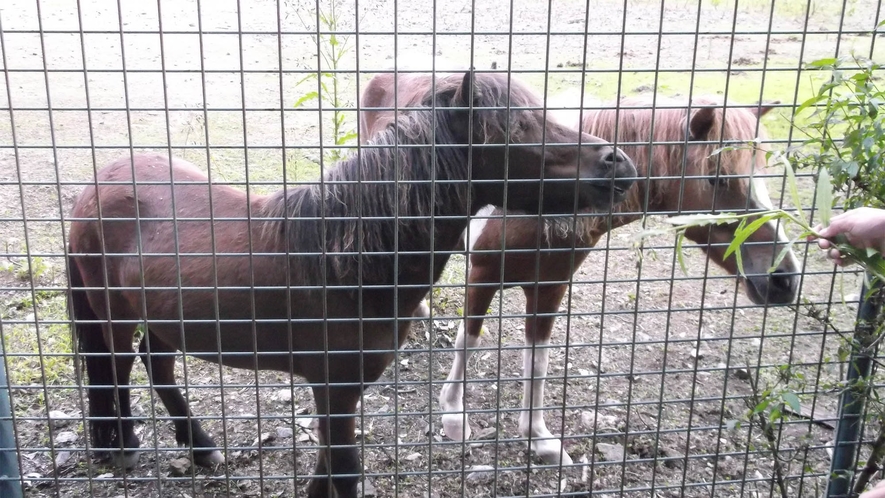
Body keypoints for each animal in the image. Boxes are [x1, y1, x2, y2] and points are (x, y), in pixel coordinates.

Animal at [69, 71, 636, 498]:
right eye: (518, 125)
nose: (619, 162)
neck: (347, 263)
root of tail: (100, 180)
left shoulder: (339, 397)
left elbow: (325, 475)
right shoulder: (335, 392)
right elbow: (343, 474)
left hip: (166, 318)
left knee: (155, 365)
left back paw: (201, 446)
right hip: (112, 315)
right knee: (115, 371)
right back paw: (122, 445)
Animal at [356, 75, 796, 466]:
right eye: (718, 178)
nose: (783, 280)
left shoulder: (550, 287)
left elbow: (538, 362)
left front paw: (540, 439)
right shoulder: (481, 275)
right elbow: (470, 341)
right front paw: (453, 417)